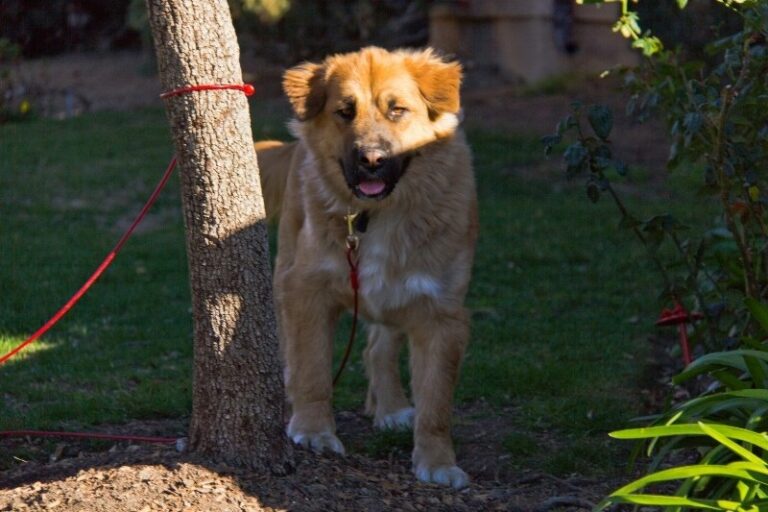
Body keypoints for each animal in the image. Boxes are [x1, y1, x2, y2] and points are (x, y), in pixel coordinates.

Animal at [255, 45, 476, 488]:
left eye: (397, 110)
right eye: (345, 111)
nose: (371, 159)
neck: (376, 216)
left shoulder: (441, 313)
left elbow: (436, 404)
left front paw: (438, 462)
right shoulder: (308, 290)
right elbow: (312, 369)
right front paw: (313, 429)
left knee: (378, 348)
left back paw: (390, 407)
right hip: (287, 269)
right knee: (292, 349)